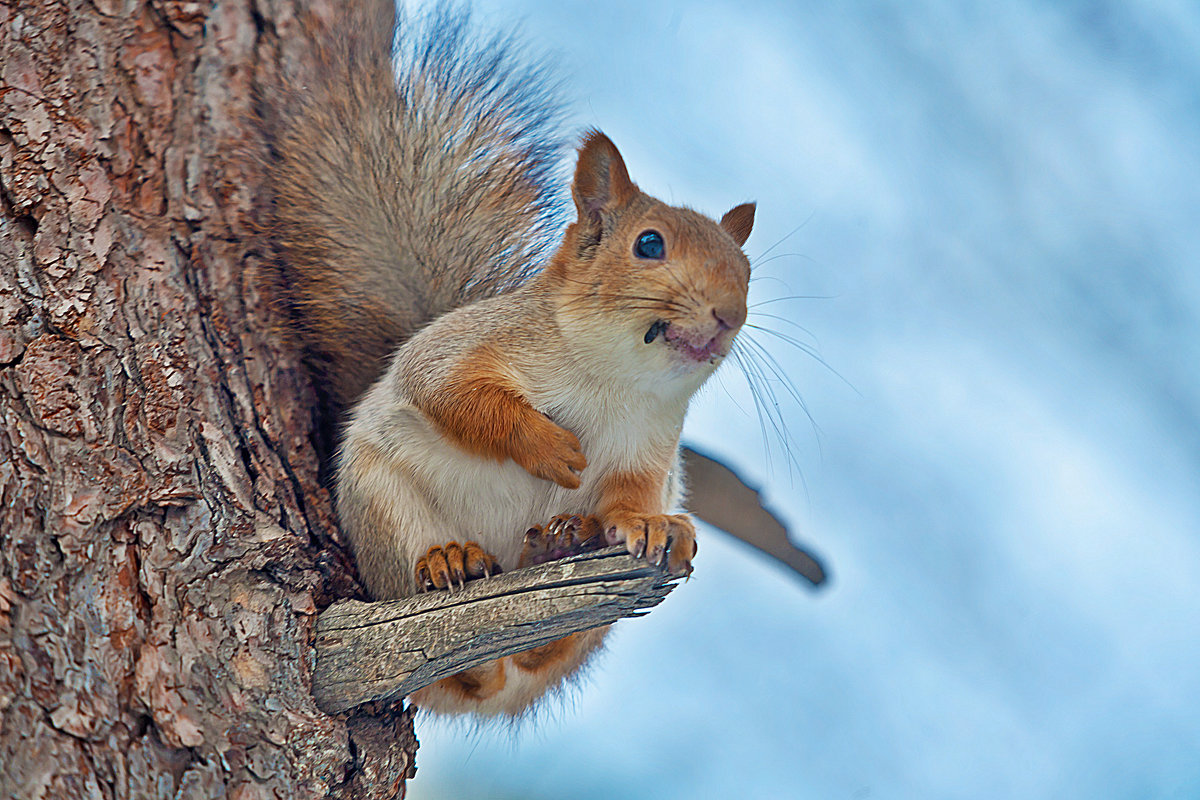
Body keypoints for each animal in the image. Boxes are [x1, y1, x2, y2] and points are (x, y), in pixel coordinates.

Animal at [267, 0, 753, 714]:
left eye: (747, 272)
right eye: (649, 244)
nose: (729, 315)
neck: (613, 379)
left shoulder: (650, 448)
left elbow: (629, 494)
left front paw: (650, 524)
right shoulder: (467, 344)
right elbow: (454, 395)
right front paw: (551, 447)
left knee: (539, 649)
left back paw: (558, 544)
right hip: (383, 508)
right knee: (447, 641)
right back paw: (449, 561)